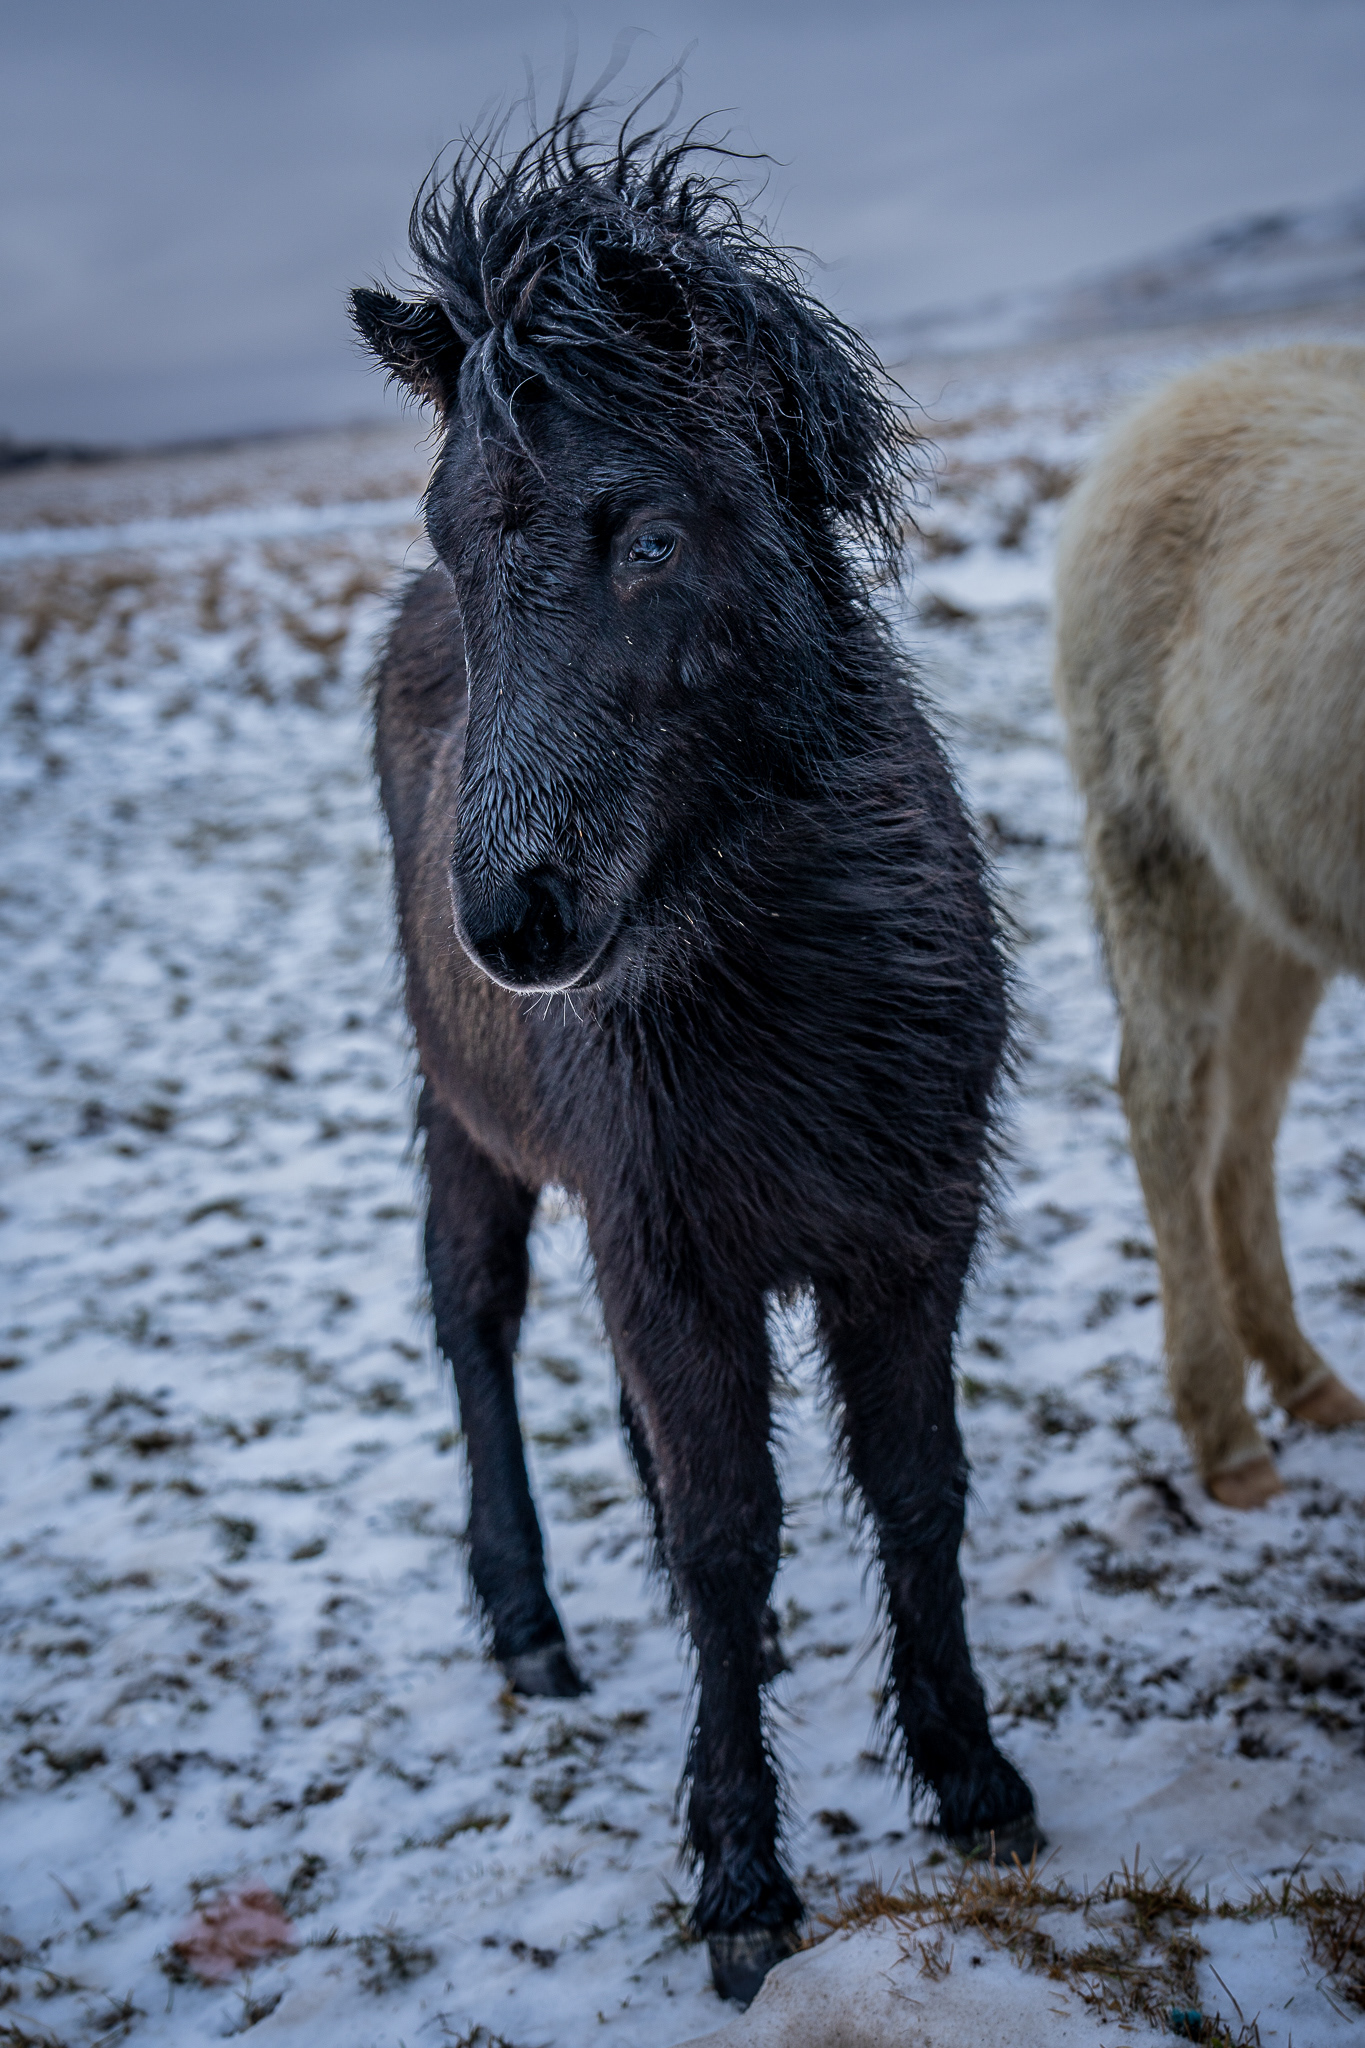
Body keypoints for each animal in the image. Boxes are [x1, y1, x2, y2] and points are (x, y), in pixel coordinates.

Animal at [352, 105, 1040, 2001]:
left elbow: (916, 1491)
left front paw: (970, 1769)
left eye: (647, 539)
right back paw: (525, 1622)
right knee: (475, 1321)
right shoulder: (671, 1252)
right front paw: (741, 1873)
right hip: (468, 1126)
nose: (510, 920)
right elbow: (734, 1541)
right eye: (459, 541)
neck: (789, 980)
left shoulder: (908, 1234)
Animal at [1054, 345, 1365, 1509]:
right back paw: (1226, 1431)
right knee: (1172, 1100)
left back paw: (1306, 1377)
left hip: (1277, 903)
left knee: (1247, 1121)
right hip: (1159, 857)